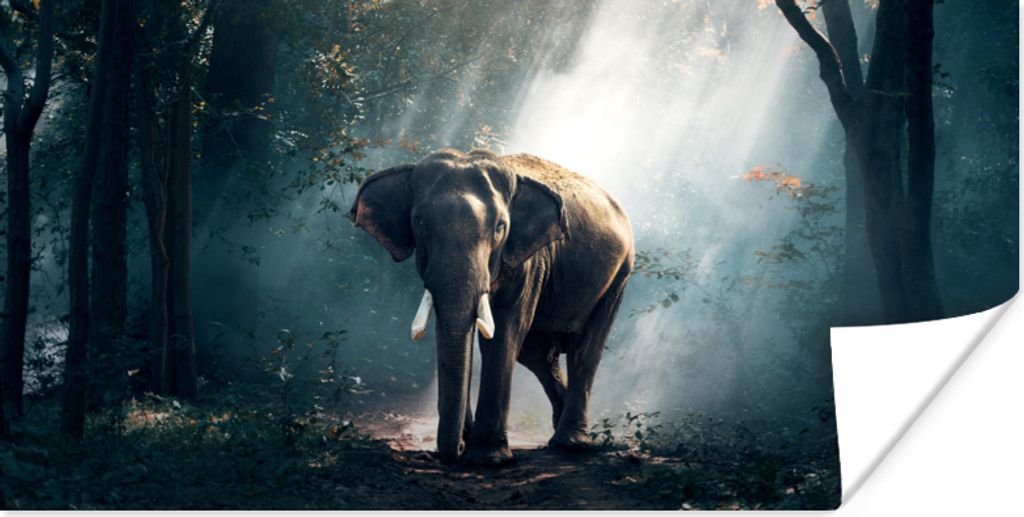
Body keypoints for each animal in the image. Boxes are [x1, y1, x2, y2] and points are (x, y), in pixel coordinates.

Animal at [349, 148, 634, 465]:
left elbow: (505, 331)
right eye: (419, 221)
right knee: (538, 354)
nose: (457, 449)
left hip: (619, 275)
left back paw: (571, 443)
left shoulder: (529, 261)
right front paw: (471, 444)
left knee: (585, 349)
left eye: (500, 227)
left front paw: (488, 458)